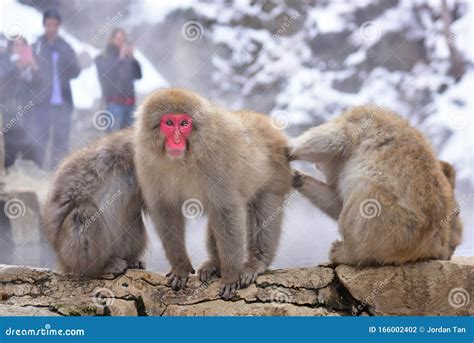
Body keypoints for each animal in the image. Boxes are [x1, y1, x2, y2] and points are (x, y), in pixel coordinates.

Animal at [133, 88, 294, 298]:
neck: (182, 159)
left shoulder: (218, 158)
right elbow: (166, 212)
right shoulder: (146, 161)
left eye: (184, 123)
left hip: (276, 176)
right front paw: (180, 268)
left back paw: (256, 262)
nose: (176, 140)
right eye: (169, 123)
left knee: (262, 212)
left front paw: (231, 277)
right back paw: (215, 264)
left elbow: (226, 210)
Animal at [288, 106, 462, 268]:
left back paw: (349, 254)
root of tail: (428, 248)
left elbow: (333, 139)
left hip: (395, 229)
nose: (317, 166)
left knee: (365, 191)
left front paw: (289, 150)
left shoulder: (358, 123)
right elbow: (336, 203)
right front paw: (295, 176)